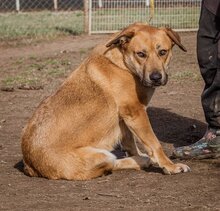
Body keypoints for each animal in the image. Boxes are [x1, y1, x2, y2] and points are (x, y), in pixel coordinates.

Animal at [21, 23, 191, 180]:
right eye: (141, 54)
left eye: (163, 52)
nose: (156, 78)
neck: (123, 64)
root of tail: (31, 165)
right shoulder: (136, 112)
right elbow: (154, 143)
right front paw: (169, 166)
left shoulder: (125, 117)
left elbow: (130, 142)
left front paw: (141, 155)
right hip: (101, 155)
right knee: (112, 164)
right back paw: (141, 161)